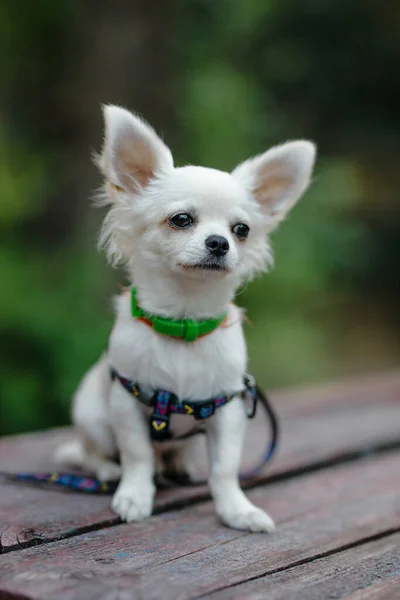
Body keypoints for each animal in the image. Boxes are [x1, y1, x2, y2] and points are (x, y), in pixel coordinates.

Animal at [55, 105, 316, 532]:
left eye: (241, 230)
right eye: (181, 219)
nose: (220, 243)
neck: (183, 323)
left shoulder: (227, 411)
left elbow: (225, 469)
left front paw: (237, 510)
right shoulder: (126, 405)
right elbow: (137, 456)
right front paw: (134, 496)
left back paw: (182, 468)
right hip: (93, 416)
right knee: (93, 454)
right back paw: (109, 472)